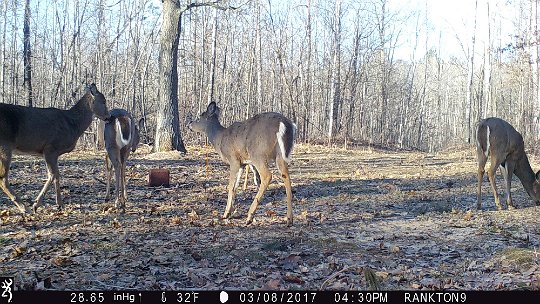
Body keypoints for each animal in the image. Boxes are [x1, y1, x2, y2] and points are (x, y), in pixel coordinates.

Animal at [0, 82, 109, 213]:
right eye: (104, 101)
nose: (108, 116)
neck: (73, 125)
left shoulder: (55, 153)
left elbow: (57, 175)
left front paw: (60, 204)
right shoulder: (50, 148)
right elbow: (52, 175)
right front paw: (36, 204)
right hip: (5, 144)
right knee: (3, 178)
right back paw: (24, 207)